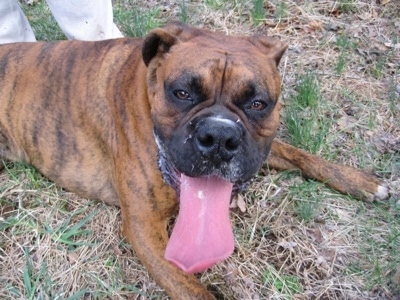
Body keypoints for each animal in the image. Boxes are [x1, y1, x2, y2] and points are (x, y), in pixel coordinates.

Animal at [0, 22, 388, 298]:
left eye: (257, 103)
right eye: (182, 92)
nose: (219, 137)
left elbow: (301, 154)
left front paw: (362, 182)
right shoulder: (144, 228)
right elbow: (193, 291)